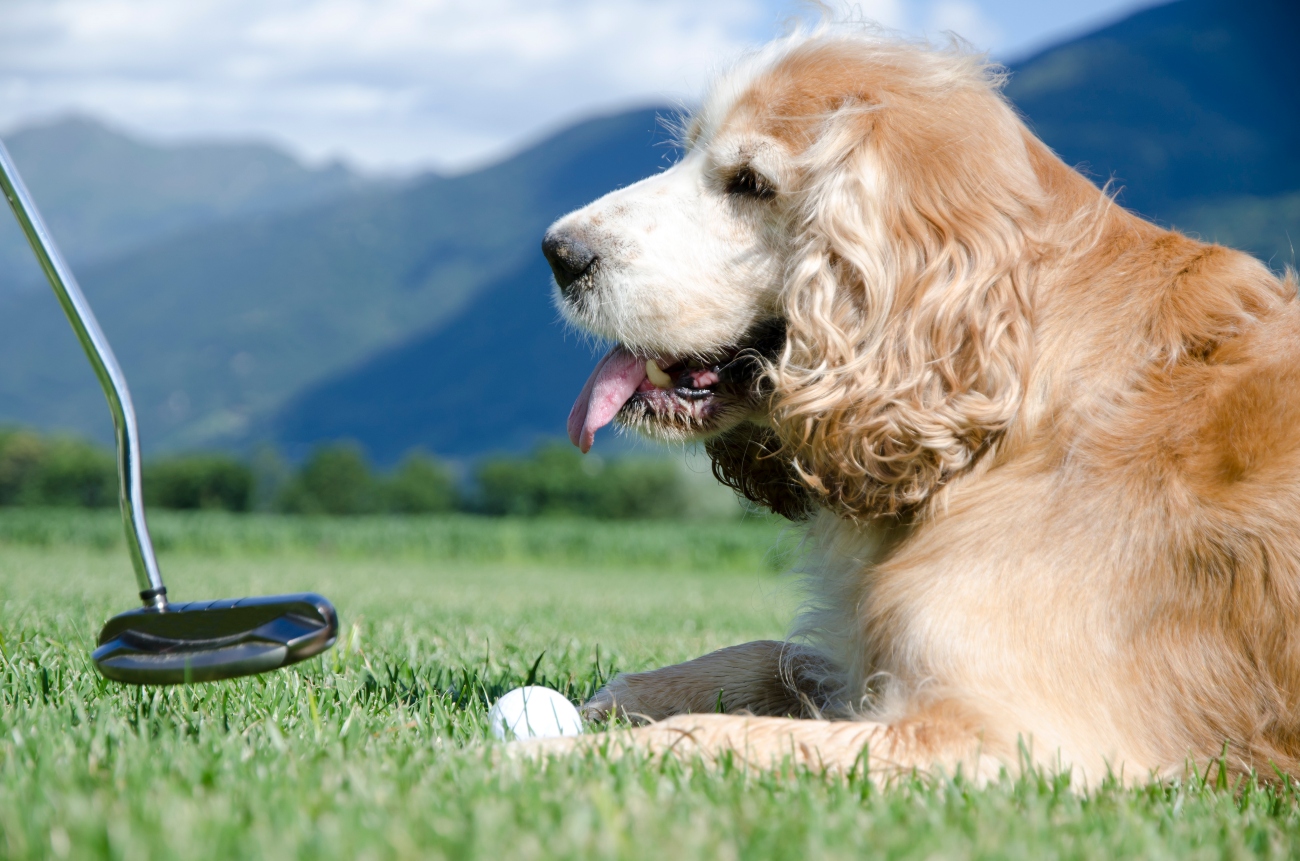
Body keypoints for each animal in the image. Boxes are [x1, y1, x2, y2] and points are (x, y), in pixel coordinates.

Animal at [535, 28, 1300, 790]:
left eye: (750, 183)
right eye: (689, 151)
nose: (557, 251)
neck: (1010, 410)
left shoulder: (1017, 737)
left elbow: (708, 734)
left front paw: (533, 755)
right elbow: (779, 655)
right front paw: (624, 694)